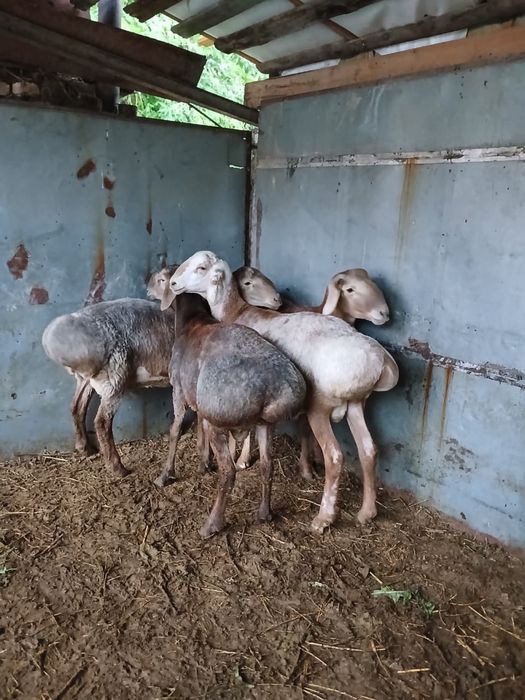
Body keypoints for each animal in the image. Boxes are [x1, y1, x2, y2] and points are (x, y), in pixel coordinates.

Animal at [42, 264, 282, 475]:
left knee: (76, 407)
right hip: (114, 377)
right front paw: (216, 460)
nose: (277, 300)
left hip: (89, 379)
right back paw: (117, 468)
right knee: (101, 422)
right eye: (248, 283)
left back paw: (84, 448)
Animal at [155, 289, 306, 538]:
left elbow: (175, 429)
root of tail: (271, 389)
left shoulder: (178, 390)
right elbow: (199, 428)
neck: (193, 321)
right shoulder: (198, 402)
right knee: (267, 464)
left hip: (220, 421)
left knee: (229, 472)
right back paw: (264, 513)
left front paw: (165, 475)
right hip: (265, 423)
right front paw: (203, 464)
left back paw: (211, 524)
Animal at [167, 251, 399, 532]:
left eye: (201, 267)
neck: (235, 311)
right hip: (357, 403)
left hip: (320, 406)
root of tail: (379, 361)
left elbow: (245, 435)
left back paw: (323, 518)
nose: (174, 283)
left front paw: (240, 459)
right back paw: (367, 512)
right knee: (368, 450)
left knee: (334, 457)